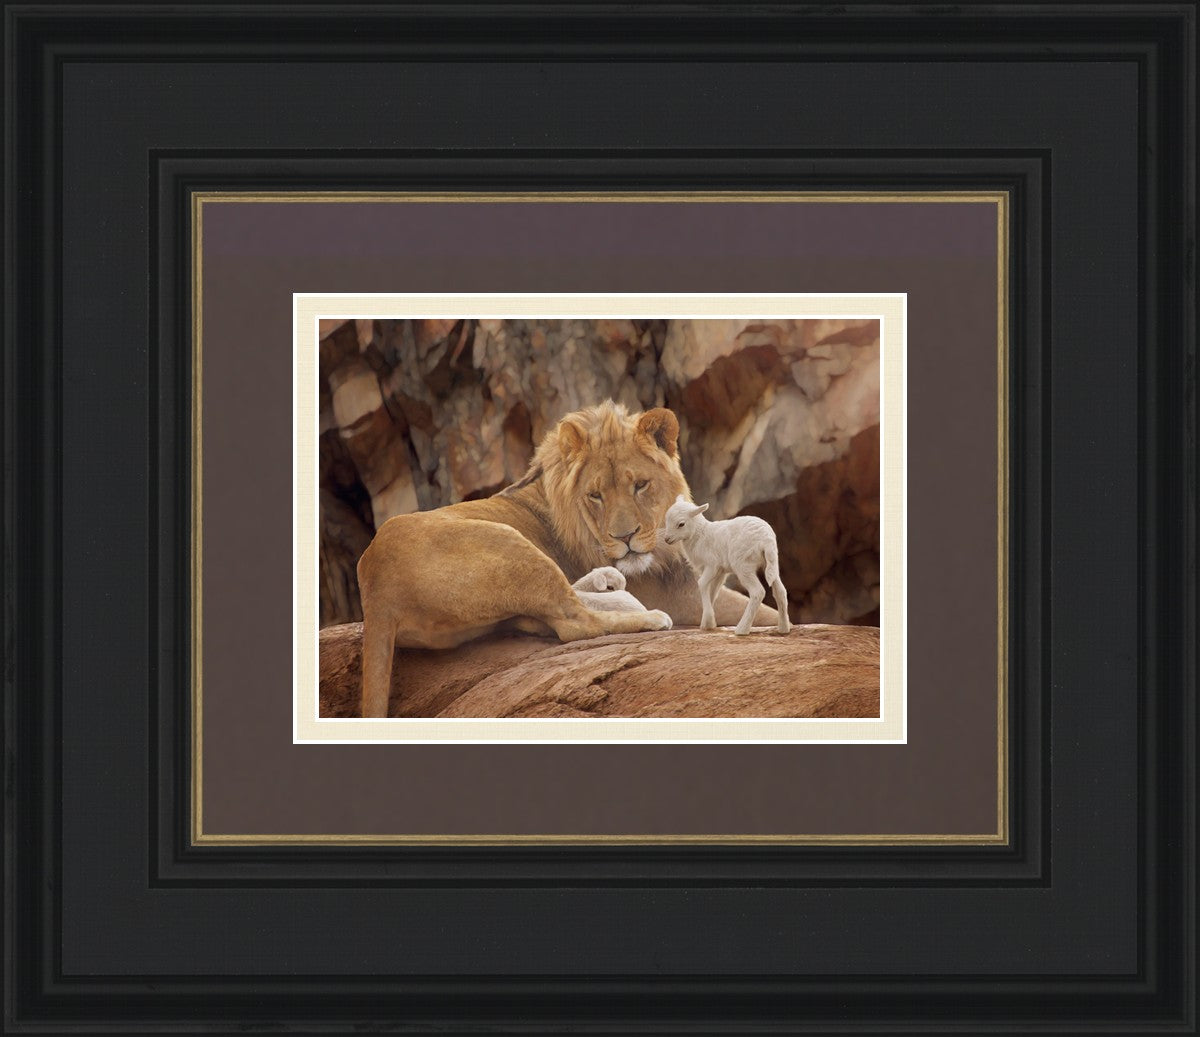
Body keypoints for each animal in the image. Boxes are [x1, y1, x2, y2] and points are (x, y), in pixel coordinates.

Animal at [662, 495, 792, 636]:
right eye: (666, 519)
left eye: (681, 524)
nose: (667, 539)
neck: (700, 535)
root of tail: (766, 539)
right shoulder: (720, 572)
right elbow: (713, 592)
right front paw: (707, 623)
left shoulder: (712, 565)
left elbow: (702, 584)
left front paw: (708, 621)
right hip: (771, 562)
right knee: (780, 591)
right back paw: (783, 628)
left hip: (743, 565)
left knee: (758, 592)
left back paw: (742, 629)